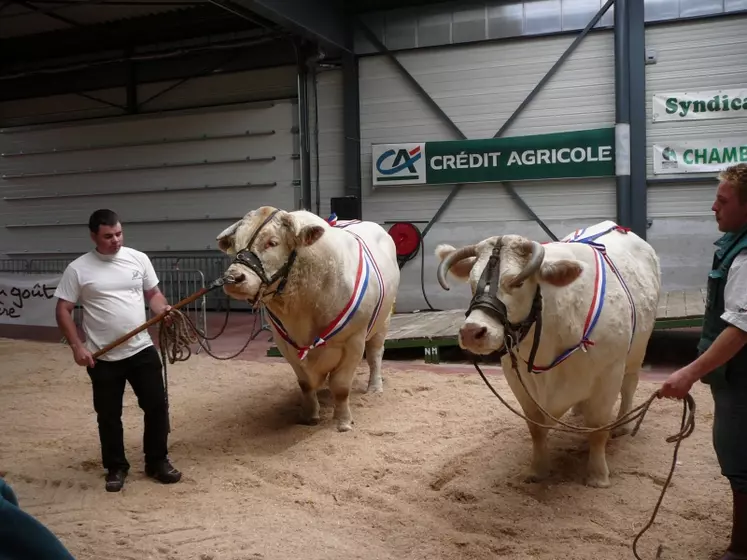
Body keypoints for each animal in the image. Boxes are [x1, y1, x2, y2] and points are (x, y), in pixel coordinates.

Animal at [215, 208, 400, 430]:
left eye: (272, 242)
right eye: (236, 245)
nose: (233, 278)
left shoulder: (353, 341)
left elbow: (341, 386)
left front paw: (344, 422)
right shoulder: (285, 343)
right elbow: (306, 383)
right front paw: (310, 416)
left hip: (384, 321)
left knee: (375, 355)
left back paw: (374, 387)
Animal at [436, 221, 664, 488]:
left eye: (517, 283)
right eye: (472, 284)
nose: (472, 332)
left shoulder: (608, 375)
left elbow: (598, 429)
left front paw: (598, 475)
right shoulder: (517, 380)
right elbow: (535, 428)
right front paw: (537, 470)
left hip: (638, 349)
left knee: (629, 386)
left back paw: (623, 426)